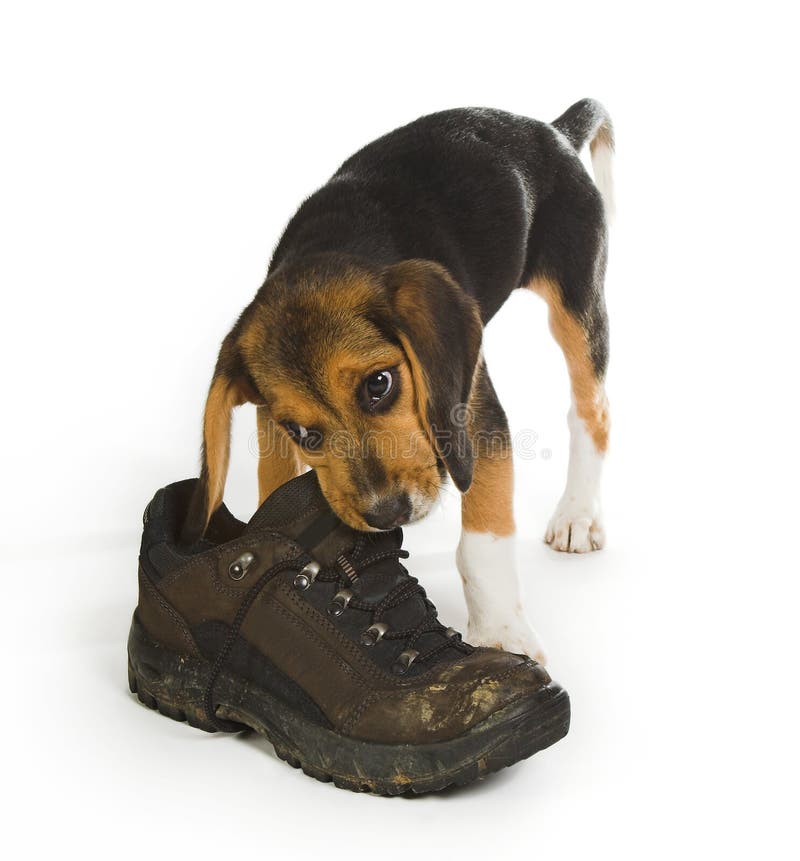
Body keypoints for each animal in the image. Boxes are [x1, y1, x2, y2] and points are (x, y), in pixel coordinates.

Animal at [181, 102, 612, 664]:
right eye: (304, 435)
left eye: (379, 385)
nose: (387, 515)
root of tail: (549, 129)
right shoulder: (270, 426)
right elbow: (273, 485)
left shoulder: (472, 412)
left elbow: (484, 541)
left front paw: (501, 634)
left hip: (576, 298)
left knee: (592, 411)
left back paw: (578, 516)